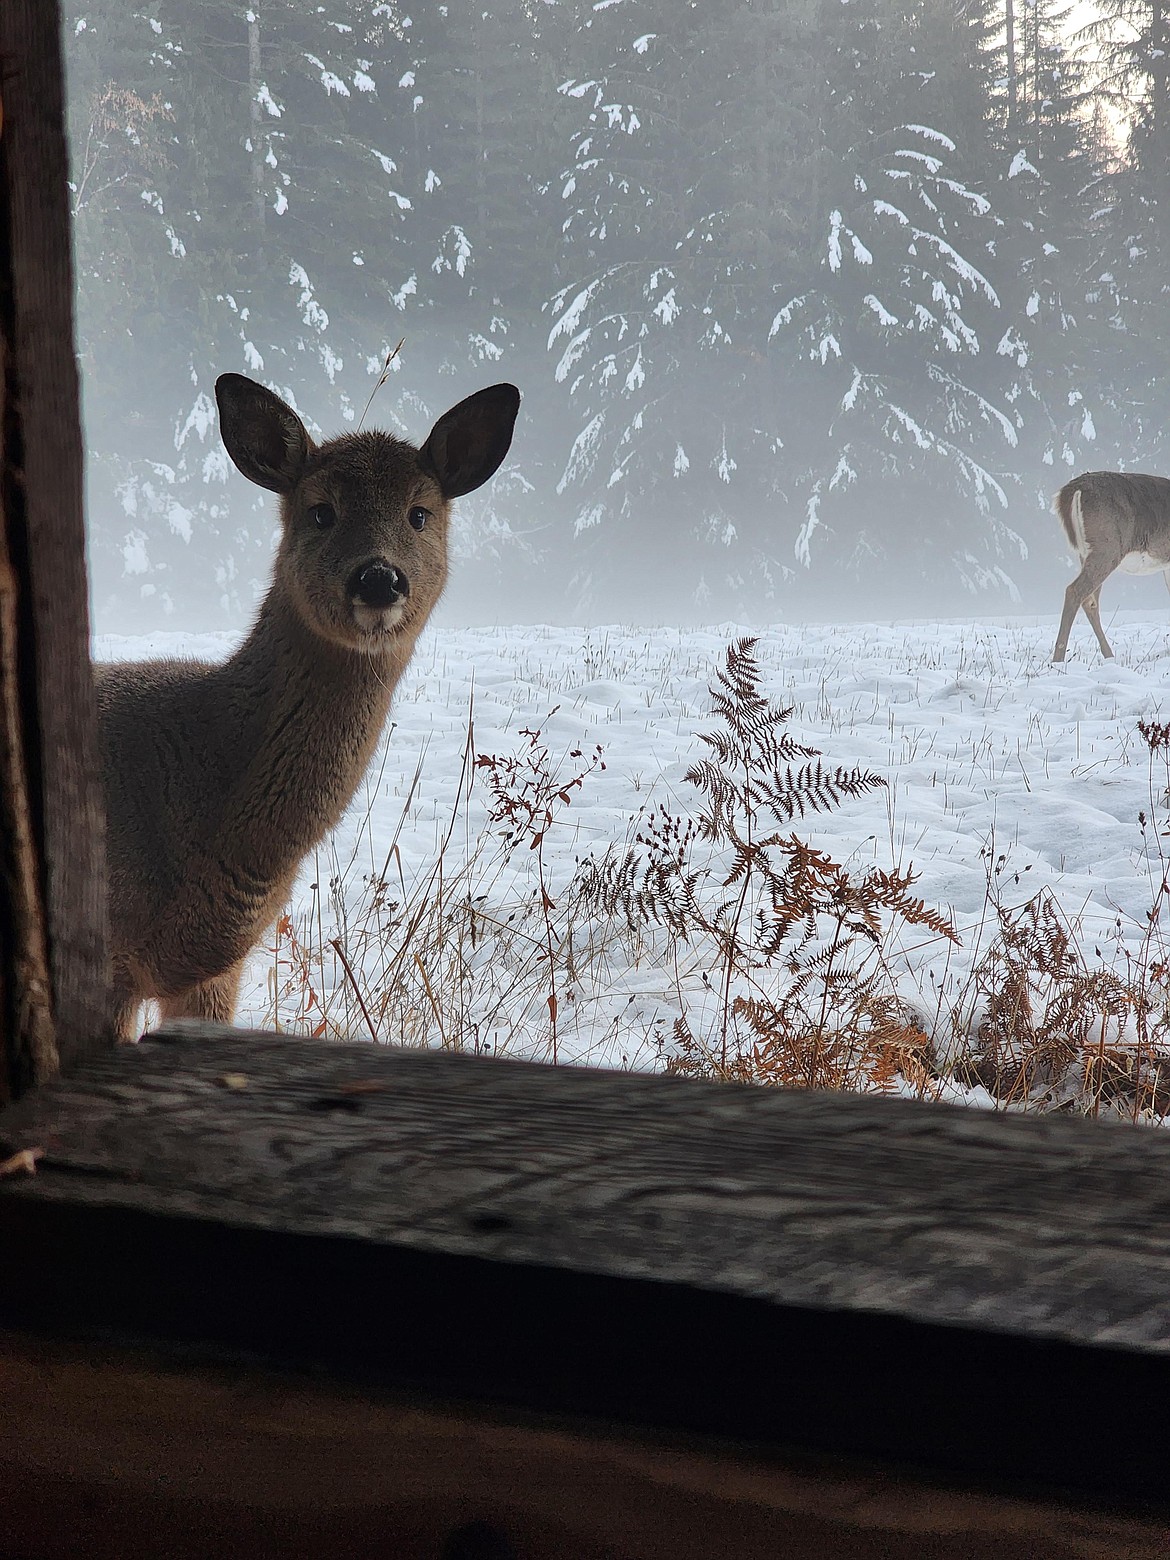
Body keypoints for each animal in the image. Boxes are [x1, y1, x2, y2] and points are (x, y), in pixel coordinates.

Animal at [1054, 461, 1170, 658]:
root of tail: (1074, 488)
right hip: (1107, 548)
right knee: (1075, 591)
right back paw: (1058, 659)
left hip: (1087, 552)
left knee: (1090, 601)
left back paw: (1109, 655)